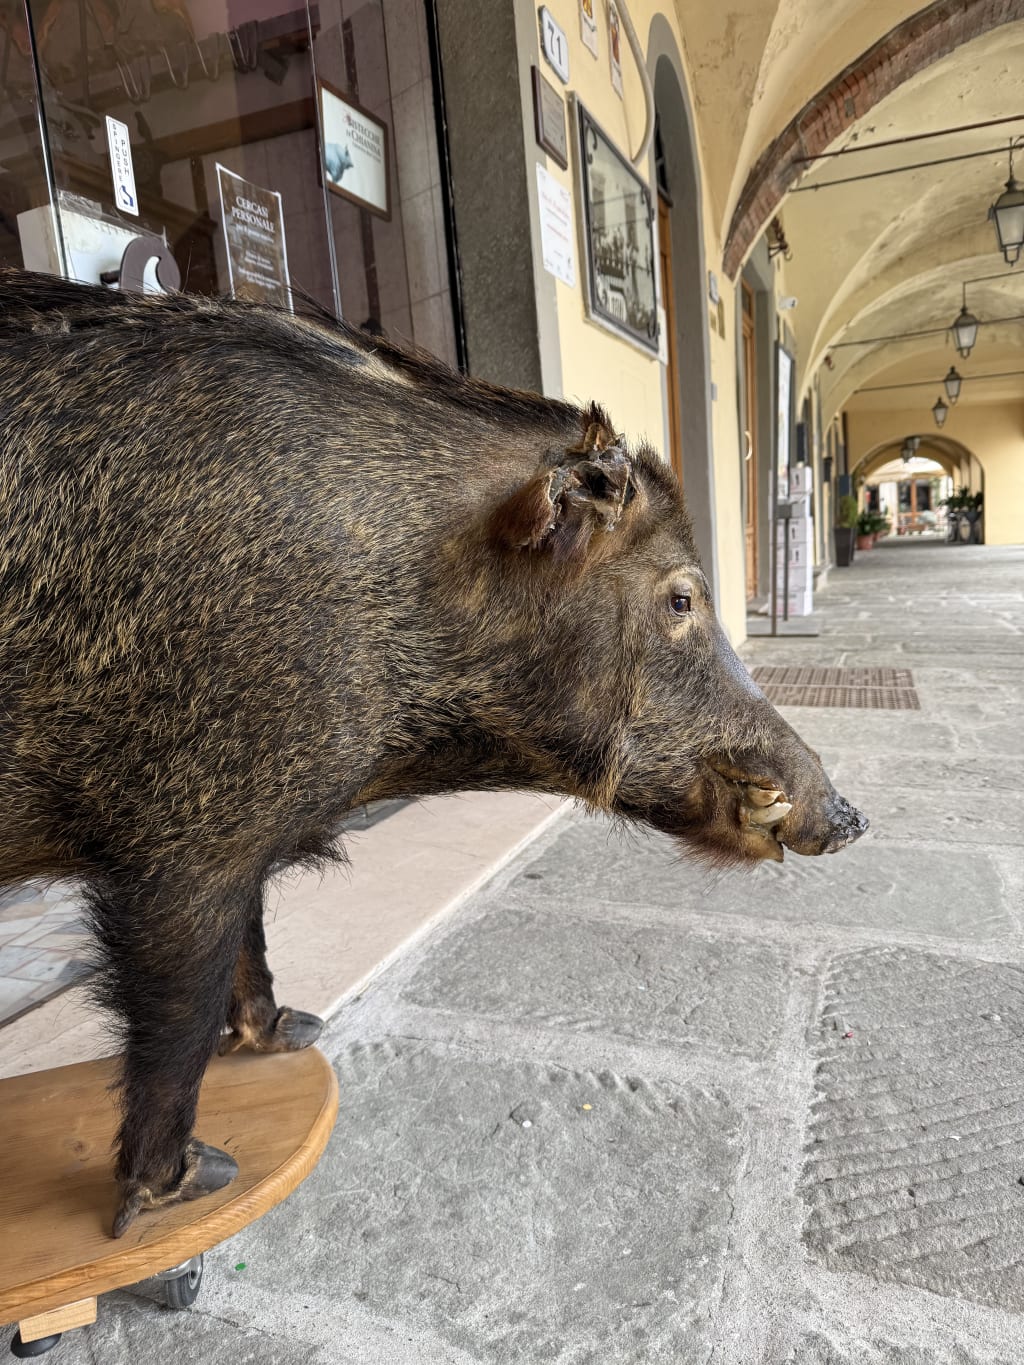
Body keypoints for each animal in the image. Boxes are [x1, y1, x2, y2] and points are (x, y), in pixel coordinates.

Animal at [0, 270, 866, 1237]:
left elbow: (252, 941)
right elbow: (179, 1017)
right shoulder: (182, 844)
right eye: (682, 597)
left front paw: (298, 1032)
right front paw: (192, 1185)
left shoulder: (238, 830)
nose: (851, 815)